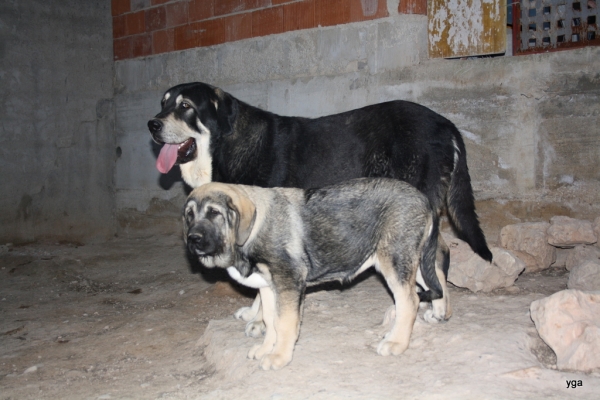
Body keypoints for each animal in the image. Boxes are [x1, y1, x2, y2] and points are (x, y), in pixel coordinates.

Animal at [146, 79, 492, 330]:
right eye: (163, 103)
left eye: (185, 106)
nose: (152, 124)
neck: (226, 144)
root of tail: (446, 124)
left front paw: (260, 318)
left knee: (437, 255)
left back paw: (430, 309)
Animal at [183, 180, 440, 370]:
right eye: (189, 215)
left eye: (214, 213)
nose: (192, 239)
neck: (254, 229)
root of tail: (425, 199)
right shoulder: (269, 287)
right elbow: (270, 321)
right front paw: (267, 349)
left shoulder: (288, 283)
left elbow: (284, 323)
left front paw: (279, 357)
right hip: (412, 261)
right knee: (435, 279)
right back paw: (438, 314)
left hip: (394, 260)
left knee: (410, 300)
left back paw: (396, 342)